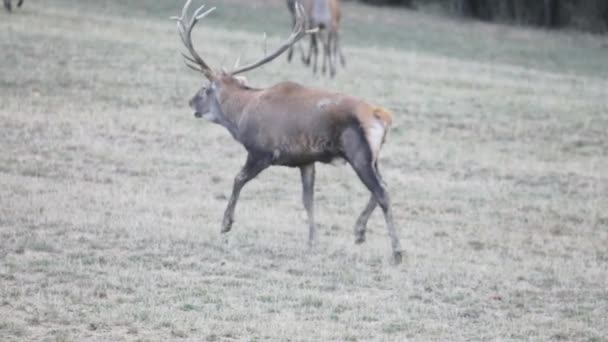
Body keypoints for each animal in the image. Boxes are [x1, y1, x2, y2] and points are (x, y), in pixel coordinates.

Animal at [173, 0, 404, 264]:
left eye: (204, 88)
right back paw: (359, 231)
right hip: (373, 156)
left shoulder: (262, 151)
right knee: (384, 185)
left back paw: (397, 251)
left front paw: (225, 224)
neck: (240, 116)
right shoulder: (305, 159)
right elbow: (308, 199)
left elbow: (238, 179)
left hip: (358, 153)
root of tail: (383, 116)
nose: (190, 102)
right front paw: (312, 241)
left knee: (382, 191)